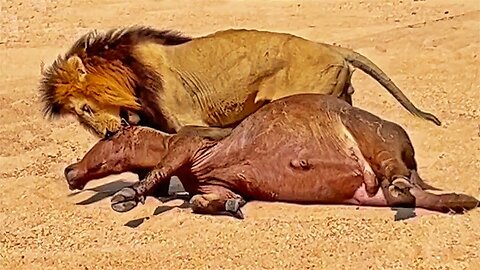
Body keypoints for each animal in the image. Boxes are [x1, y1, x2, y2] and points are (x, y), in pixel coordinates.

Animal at [64, 94, 480, 218]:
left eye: (108, 136)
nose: (70, 171)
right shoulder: (214, 185)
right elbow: (202, 201)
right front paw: (231, 207)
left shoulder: (186, 146)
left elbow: (160, 173)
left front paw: (127, 197)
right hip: (382, 191)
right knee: (415, 195)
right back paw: (462, 201)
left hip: (376, 137)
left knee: (396, 176)